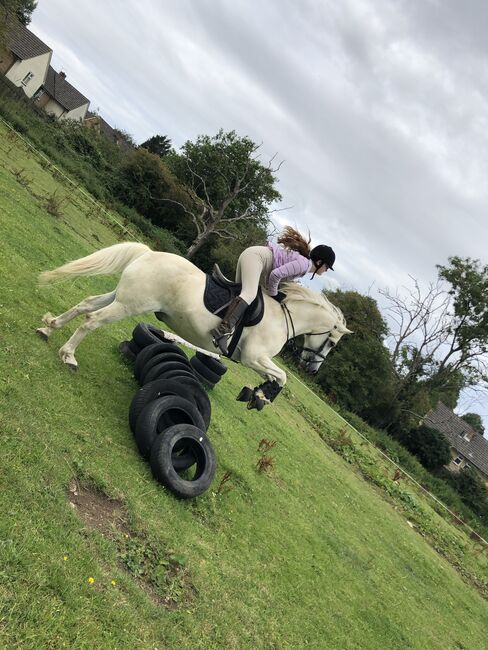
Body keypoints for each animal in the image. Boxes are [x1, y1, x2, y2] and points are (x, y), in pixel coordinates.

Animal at [38, 243, 350, 410]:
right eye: (332, 343)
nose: (312, 368)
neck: (284, 316)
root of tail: (148, 254)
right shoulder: (253, 357)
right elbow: (282, 377)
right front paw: (262, 396)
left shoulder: (253, 360)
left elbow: (277, 377)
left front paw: (257, 394)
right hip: (130, 305)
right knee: (92, 320)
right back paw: (68, 356)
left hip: (122, 297)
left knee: (86, 305)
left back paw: (48, 328)